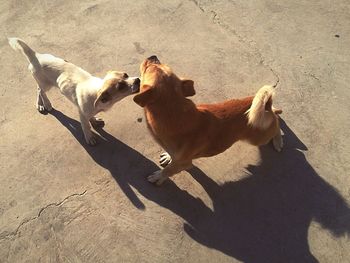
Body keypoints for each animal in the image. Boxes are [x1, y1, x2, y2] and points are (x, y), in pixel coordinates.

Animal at [8, 37, 139, 145]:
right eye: (120, 86)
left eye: (126, 74)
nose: (138, 80)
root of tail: (35, 55)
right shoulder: (82, 113)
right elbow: (85, 126)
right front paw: (89, 137)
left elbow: (91, 117)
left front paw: (94, 121)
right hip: (46, 85)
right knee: (40, 90)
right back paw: (46, 104)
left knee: (37, 88)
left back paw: (40, 104)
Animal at [133, 55, 284, 186]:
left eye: (148, 68)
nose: (153, 56)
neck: (175, 112)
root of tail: (267, 105)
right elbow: (171, 156)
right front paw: (169, 157)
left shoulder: (184, 163)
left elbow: (169, 170)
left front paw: (159, 176)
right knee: (274, 113)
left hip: (258, 138)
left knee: (275, 124)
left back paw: (278, 139)